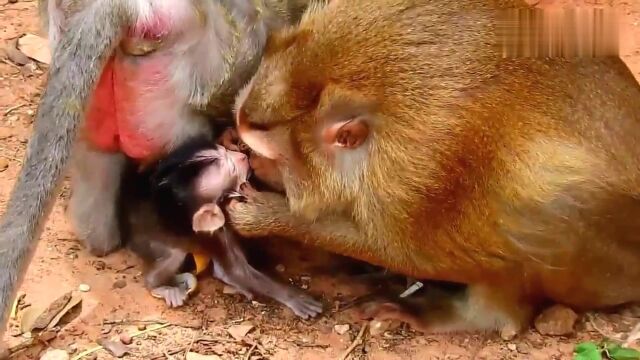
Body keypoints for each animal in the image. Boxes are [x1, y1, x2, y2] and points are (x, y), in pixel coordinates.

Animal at [118, 136, 322, 320]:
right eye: (232, 169)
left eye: (224, 151)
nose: (242, 156)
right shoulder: (214, 232)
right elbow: (236, 270)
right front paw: (293, 296)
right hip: (146, 240)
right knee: (173, 255)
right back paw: (160, 286)